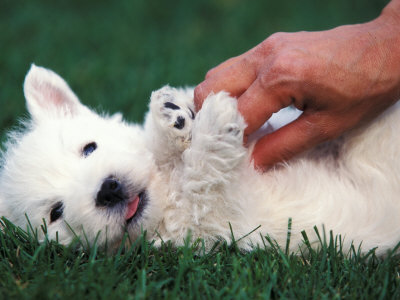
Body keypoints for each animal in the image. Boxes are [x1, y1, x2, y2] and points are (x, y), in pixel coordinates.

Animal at [0, 64, 400, 254]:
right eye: (56, 213)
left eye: (89, 148)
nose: (108, 189)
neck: (165, 190)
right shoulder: (218, 216)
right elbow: (205, 176)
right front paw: (215, 121)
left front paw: (172, 113)